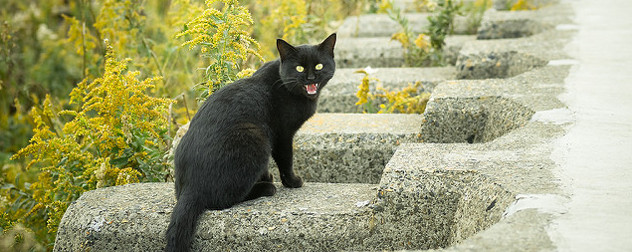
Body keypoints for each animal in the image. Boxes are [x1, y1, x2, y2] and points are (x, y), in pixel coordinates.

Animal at [165, 34, 338, 252]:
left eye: (319, 66)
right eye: (299, 68)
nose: (310, 78)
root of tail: (190, 187)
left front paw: (268, 176)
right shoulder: (282, 135)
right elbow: (286, 161)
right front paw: (292, 182)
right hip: (256, 139)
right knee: (222, 199)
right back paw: (266, 188)